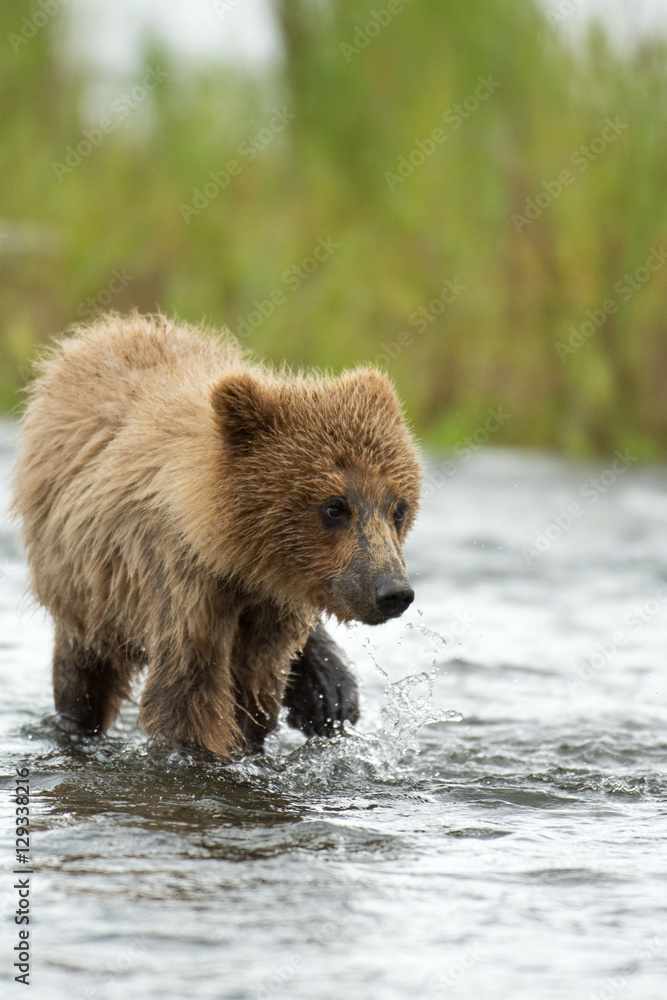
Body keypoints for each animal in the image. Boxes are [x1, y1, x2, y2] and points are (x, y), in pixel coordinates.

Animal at [11, 312, 422, 757]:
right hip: (81, 587)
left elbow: (254, 691)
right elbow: (187, 694)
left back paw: (329, 690)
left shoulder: (269, 608)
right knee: (83, 675)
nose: (392, 591)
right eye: (334, 506)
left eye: (399, 508)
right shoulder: (180, 587)